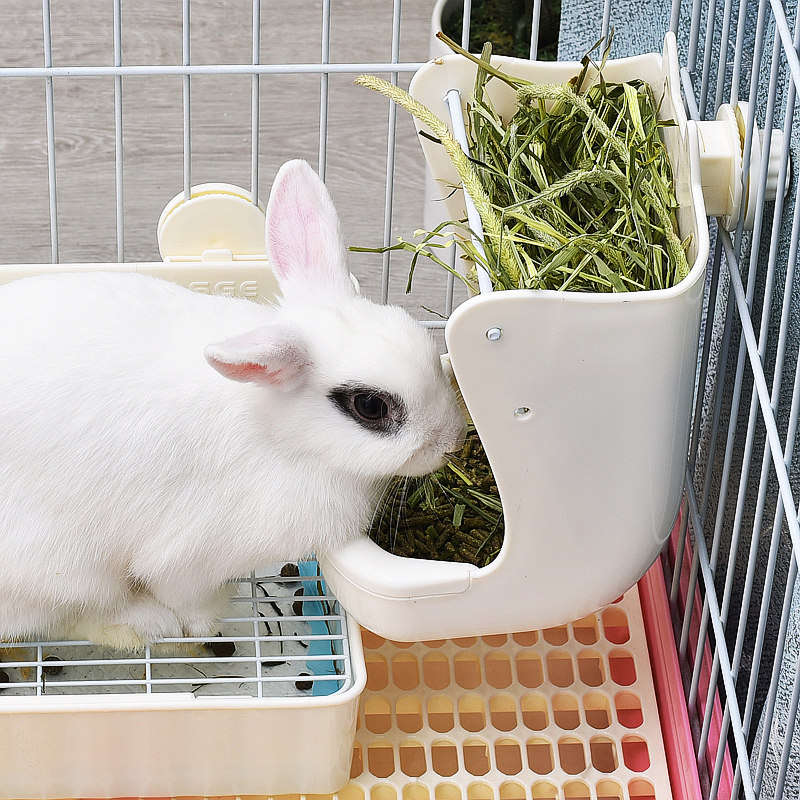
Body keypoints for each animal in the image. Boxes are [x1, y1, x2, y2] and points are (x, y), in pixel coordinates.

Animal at [0, 159, 466, 651]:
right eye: (371, 406)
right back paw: (145, 626)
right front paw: (207, 622)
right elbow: (185, 594)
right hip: (63, 569)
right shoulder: (190, 556)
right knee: (63, 616)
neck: (278, 434)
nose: (453, 443)